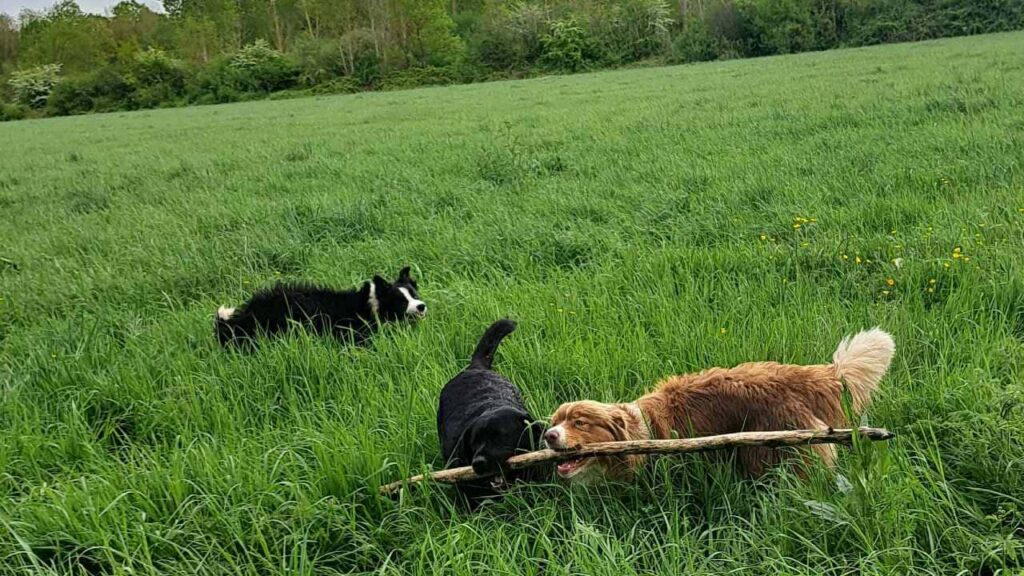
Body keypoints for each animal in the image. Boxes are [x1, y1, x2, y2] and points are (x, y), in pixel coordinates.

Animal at [544, 327, 897, 479]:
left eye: (579, 422)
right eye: (555, 421)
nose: (548, 436)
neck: (638, 431)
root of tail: (804, 376)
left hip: (768, 448)